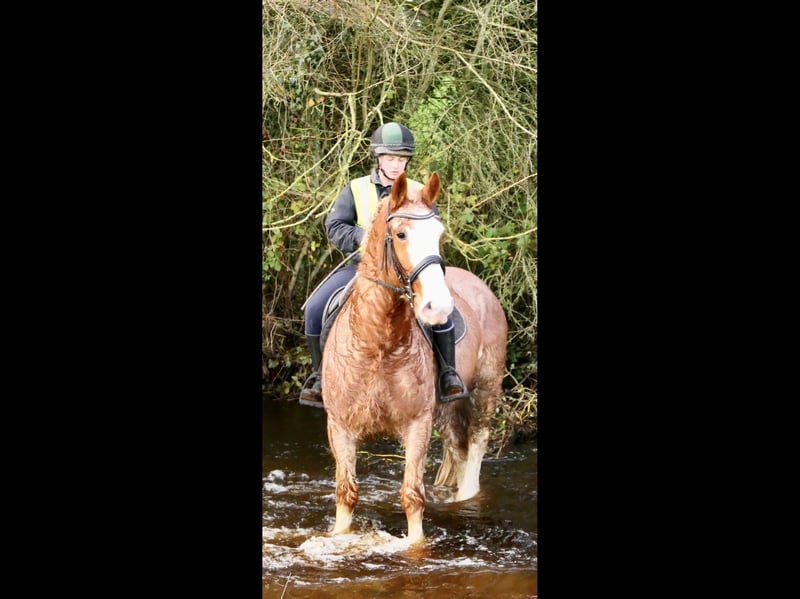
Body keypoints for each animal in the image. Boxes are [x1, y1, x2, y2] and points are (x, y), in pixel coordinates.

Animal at [320, 171, 508, 545]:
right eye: (401, 234)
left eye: (440, 234)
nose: (438, 307)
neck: (378, 343)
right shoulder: (341, 427)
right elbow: (346, 494)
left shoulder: (417, 425)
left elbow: (412, 496)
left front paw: (415, 546)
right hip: (448, 408)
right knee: (457, 447)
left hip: (485, 389)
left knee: (476, 445)